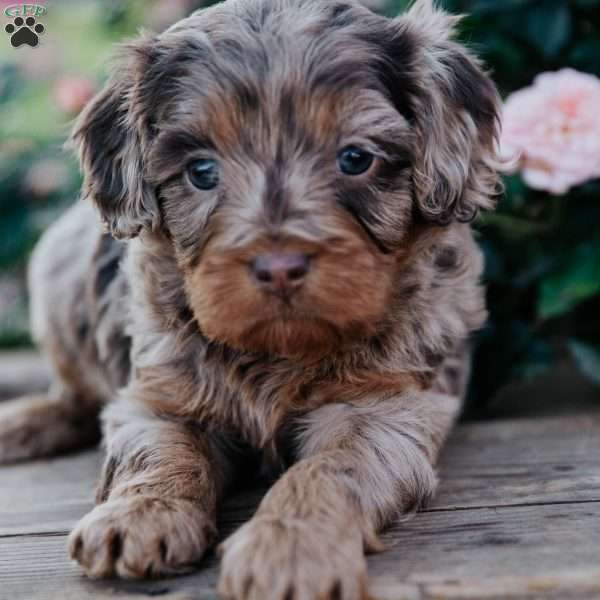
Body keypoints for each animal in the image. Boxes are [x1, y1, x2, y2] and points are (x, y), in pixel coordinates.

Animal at [0, 0, 502, 596]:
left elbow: (328, 468)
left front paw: (289, 544)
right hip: (58, 266)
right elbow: (159, 450)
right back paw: (22, 422)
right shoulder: (159, 397)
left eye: (356, 159)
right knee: (74, 395)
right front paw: (140, 514)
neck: (278, 350)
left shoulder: (383, 411)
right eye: (201, 171)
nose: (278, 268)